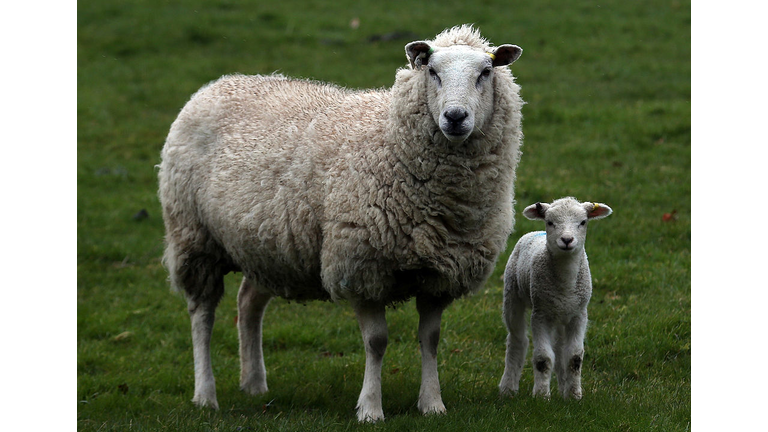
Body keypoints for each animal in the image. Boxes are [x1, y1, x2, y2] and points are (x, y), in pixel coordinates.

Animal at [158, 25, 524, 422]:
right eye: (432, 71)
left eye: (485, 73)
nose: (455, 117)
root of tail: (219, 84)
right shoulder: (360, 266)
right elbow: (376, 342)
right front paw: (371, 408)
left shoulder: (439, 274)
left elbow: (431, 339)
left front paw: (432, 404)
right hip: (194, 238)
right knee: (202, 315)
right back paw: (205, 394)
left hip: (266, 245)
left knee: (248, 304)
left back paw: (253, 383)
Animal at [498, 197, 612, 400]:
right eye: (550, 222)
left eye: (583, 222)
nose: (567, 240)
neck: (566, 284)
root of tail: (534, 232)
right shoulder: (540, 314)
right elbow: (543, 358)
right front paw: (541, 396)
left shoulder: (579, 315)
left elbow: (574, 357)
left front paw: (573, 395)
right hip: (512, 293)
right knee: (517, 340)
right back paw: (508, 388)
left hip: (560, 314)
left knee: (559, 349)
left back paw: (562, 387)